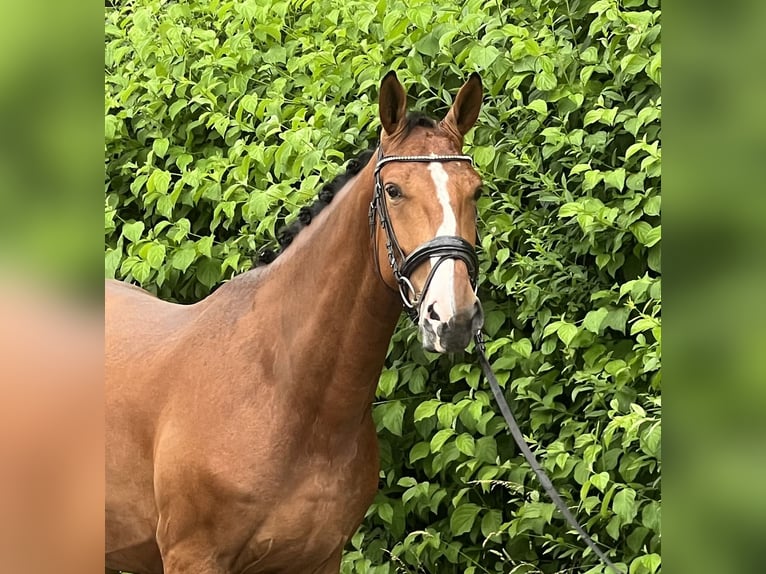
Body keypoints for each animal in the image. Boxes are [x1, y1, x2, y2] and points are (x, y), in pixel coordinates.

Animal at [106, 72, 486, 574]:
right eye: (394, 190)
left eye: (476, 190)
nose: (453, 317)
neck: (286, 391)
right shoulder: (193, 557)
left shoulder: (321, 558)